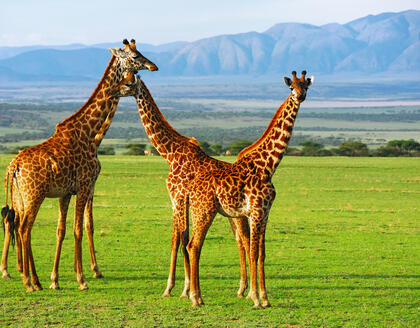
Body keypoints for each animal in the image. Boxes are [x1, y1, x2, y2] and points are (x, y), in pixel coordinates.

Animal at [0, 39, 158, 292]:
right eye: (134, 56)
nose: (153, 66)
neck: (90, 133)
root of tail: (13, 167)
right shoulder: (85, 186)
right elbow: (80, 228)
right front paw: (83, 278)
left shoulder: (66, 192)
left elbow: (61, 230)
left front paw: (55, 279)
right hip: (34, 195)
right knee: (24, 228)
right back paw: (28, 281)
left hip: (23, 197)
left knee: (14, 223)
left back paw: (32, 278)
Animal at [110, 70, 251, 300]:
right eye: (122, 76)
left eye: (129, 83)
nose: (111, 91)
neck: (169, 153)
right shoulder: (174, 199)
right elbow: (177, 238)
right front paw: (176, 288)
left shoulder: (178, 196)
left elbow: (182, 239)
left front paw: (182, 289)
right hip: (232, 215)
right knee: (240, 240)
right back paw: (242, 288)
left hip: (237, 215)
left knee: (245, 240)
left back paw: (245, 289)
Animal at [185, 71, 314, 308]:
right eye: (291, 87)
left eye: (306, 87)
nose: (300, 97)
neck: (268, 166)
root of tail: (191, 188)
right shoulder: (254, 212)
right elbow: (253, 252)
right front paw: (254, 297)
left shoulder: (265, 213)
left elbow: (261, 253)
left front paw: (265, 298)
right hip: (204, 211)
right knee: (194, 246)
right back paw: (195, 297)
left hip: (202, 211)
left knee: (193, 245)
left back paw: (197, 296)